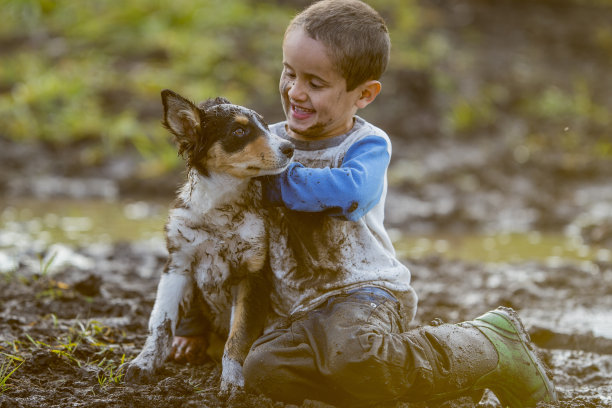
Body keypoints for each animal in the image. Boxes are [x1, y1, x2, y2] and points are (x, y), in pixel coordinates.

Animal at [124, 89, 294, 396]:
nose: (290, 148)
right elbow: (161, 323)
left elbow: (238, 334)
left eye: (265, 125)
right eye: (239, 131)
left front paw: (232, 380)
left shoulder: (253, 275)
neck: (219, 208)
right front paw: (144, 363)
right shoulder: (177, 266)